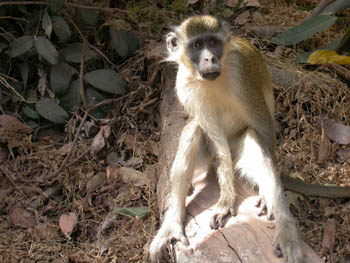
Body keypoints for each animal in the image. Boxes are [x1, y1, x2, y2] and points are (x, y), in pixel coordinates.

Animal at [149, 14, 348, 263]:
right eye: (197, 45)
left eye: (212, 43)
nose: (209, 57)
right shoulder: (183, 83)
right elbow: (216, 141)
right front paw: (226, 200)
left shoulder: (241, 72)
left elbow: (263, 126)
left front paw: (265, 196)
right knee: (194, 130)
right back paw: (172, 225)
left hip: (240, 148)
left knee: (255, 138)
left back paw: (286, 231)